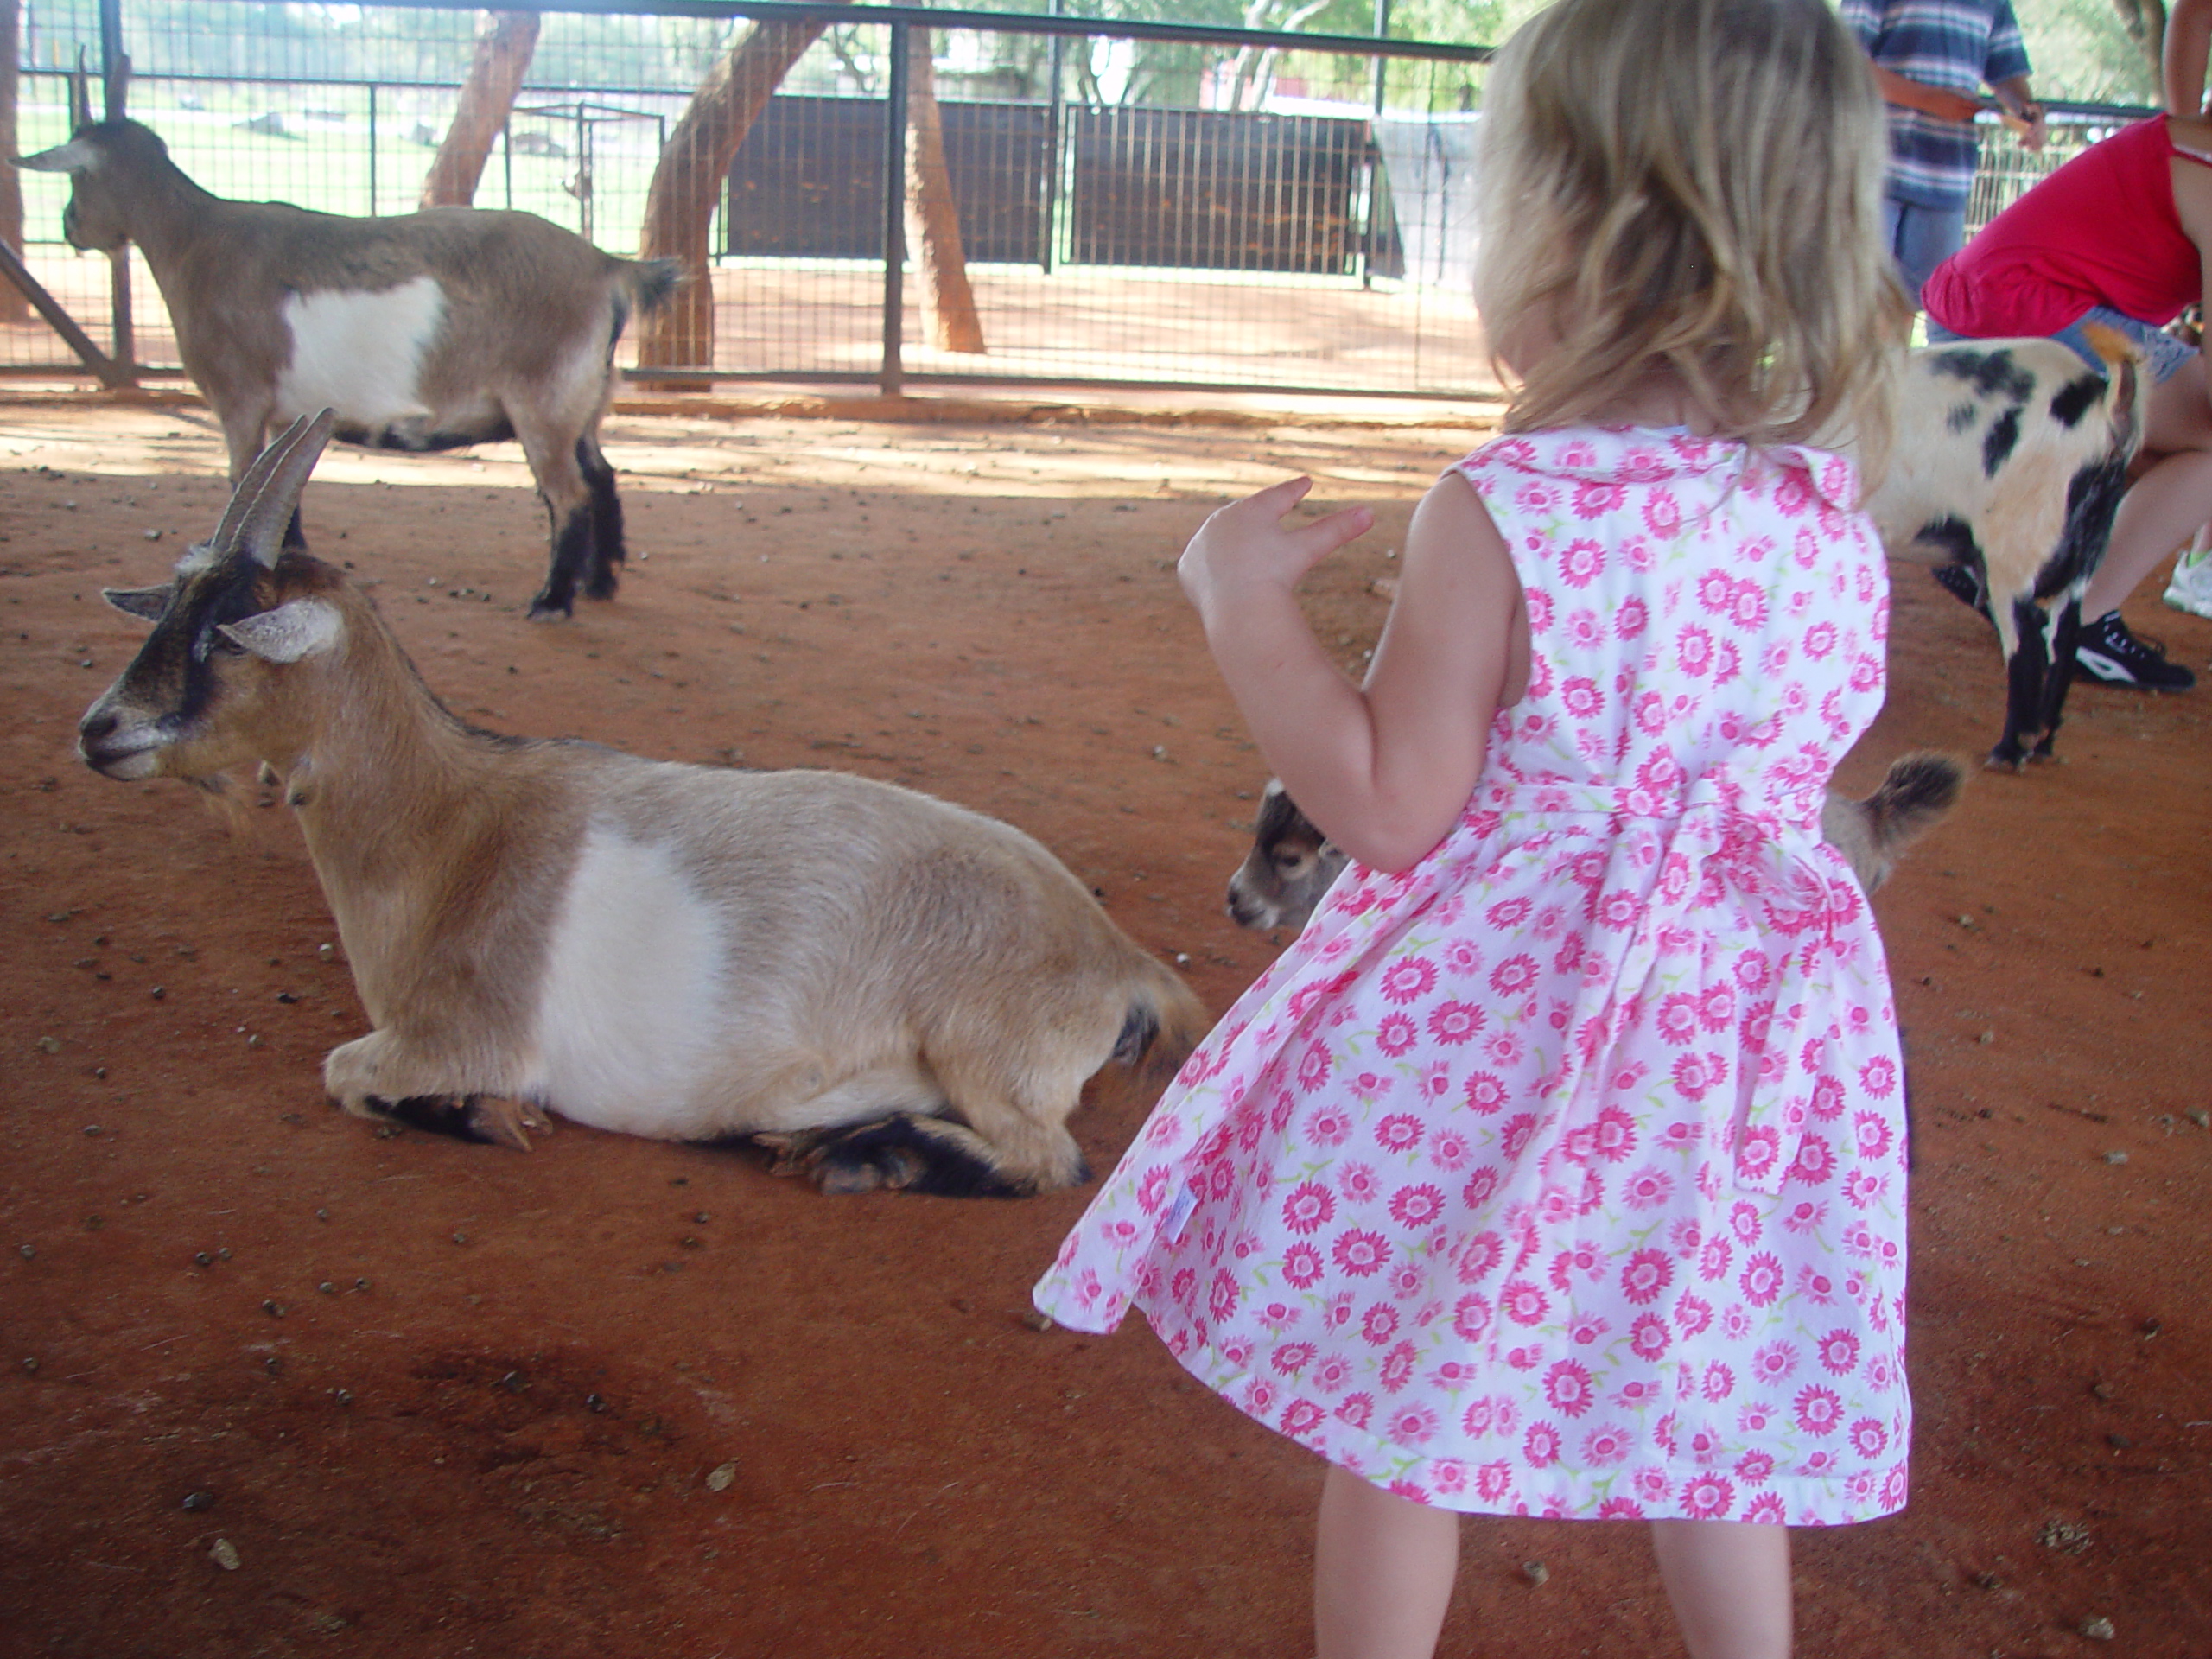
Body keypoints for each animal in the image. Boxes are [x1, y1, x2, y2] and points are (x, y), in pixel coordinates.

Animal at [19, 118, 672, 623]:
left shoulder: (239, 398)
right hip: (583, 400)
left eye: (79, 175)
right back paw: (599, 582)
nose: (69, 226)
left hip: (543, 398)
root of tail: (608, 266)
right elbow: (280, 489)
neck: (194, 241)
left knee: (569, 495)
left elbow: (243, 480)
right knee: (602, 476)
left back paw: (554, 599)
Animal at [78, 413, 1203, 1194]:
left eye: (226, 636)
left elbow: (344, 1073)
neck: (448, 833)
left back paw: (849, 1152)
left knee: (1046, 1161)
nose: (100, 729)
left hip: (981, 1053)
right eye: (171, 608)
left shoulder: (466, 1032)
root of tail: (1119, 961)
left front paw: (488, 1117)